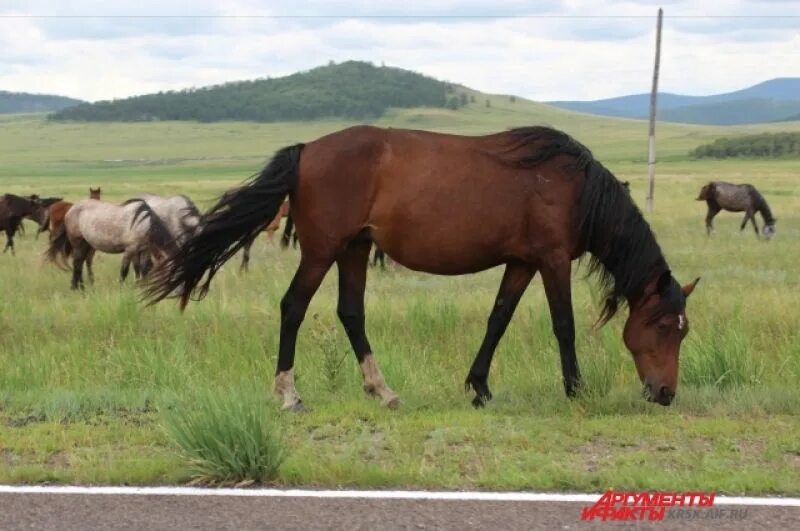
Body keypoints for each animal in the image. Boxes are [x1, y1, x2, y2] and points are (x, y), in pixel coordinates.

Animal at [48, 200, 178, 290]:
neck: (144, 223)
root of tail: (70, 210)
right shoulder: (130, 249)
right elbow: (124, 271)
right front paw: (121, 290)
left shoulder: (144, 250)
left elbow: (143, 269)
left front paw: (141, 287)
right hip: (78, 243)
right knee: (77, 263)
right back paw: (77, 288)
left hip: (87, 245)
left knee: (80, 263)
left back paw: (81, 287)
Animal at [148, 125, 700, 412]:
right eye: (662, 326)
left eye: (683, 330)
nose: (666, 394)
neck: (575, 188)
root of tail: (307, 150)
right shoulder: (551, 260)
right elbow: (563, 325)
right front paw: (575, 389)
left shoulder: (521, 262)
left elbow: (497, 320)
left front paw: (479, 387)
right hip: (323, 250)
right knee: (293, 307)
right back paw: (289, 394)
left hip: (354, 250)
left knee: (351, 313)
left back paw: (382, 389)